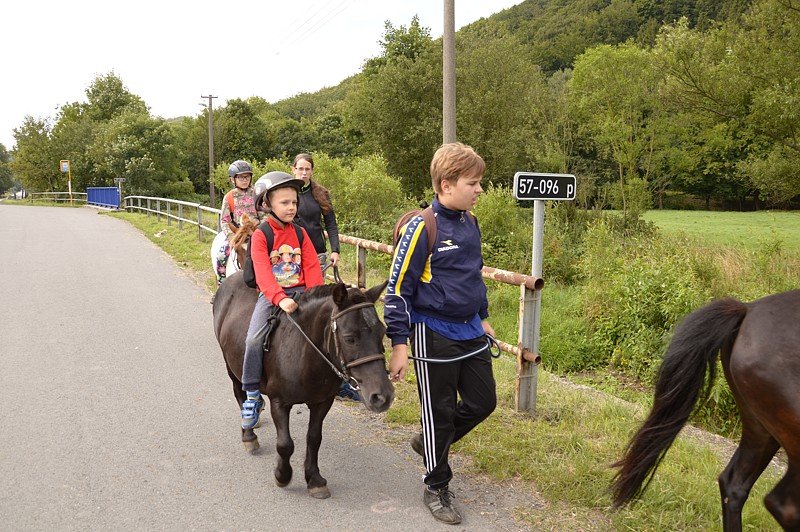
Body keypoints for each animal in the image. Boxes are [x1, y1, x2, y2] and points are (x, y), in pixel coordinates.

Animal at [212, 274, 394, 498]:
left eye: (383, 332)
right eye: (349, 337)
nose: (383, 396)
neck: (303, 351)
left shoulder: (322, 402)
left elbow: (314, 439)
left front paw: (315, 480)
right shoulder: (279, 403)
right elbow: (285, 444)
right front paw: (282, 475)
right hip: (232, 367)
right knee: (240, 394)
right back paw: (249, 433)